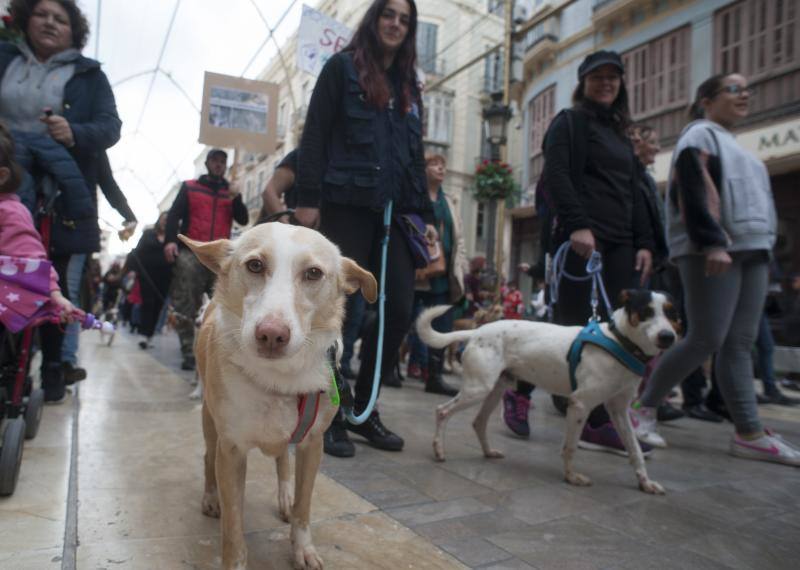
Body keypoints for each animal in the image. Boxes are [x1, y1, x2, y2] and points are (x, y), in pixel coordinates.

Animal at [180, 223, 376, 568]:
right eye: (255, 265)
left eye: (313, 273)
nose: (271, 335)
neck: (280, 378)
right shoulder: (231, 451)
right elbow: (233, 531)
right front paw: (235, 560)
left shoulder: (313, 445)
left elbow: (304, 507)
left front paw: (302, 547)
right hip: (210, 421)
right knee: (208, 456)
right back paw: (211, 497)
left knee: (283, 458)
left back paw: (285, 496)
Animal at [416, 288, 680, 492]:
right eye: (646, 311)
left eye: (671, 312)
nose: (667, 337)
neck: (620, 342)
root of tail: (477, 331)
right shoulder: (580, 404)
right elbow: (570, 447)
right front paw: (571, 477)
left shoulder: (619, 409)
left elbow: (634, 450)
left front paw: (645, 482)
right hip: (478, 388)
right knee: (442, 411)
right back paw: (439, 450)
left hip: (495, 388)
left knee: (478, 422)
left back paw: (488, 452)